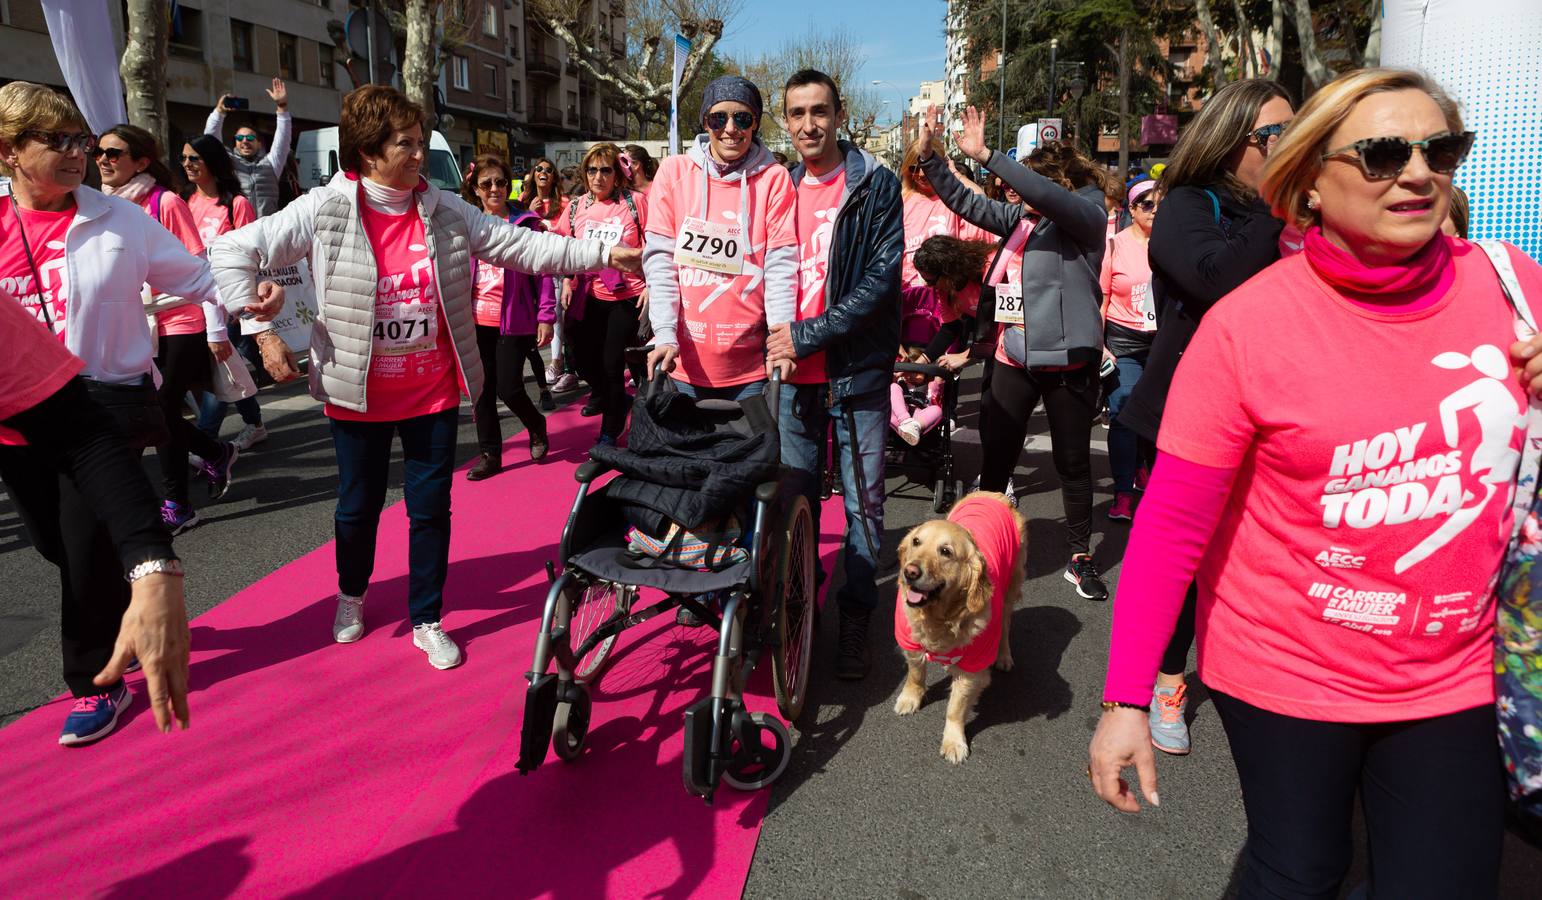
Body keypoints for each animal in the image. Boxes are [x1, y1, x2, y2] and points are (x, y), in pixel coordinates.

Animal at [894, 490, 1023, 764]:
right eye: (916, 541)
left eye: (946, 551)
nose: (910, 572)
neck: (939, 618)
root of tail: (993, 494)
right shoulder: (910, 642)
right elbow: (915, 673)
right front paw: (911, 697)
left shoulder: (973, 668)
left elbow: (955, 707)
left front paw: (954, 741)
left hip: (1010, 589)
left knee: (1006, 626)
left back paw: (1004, 656)